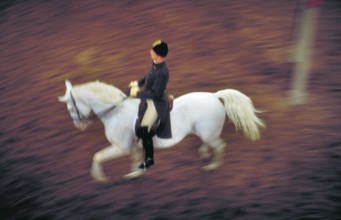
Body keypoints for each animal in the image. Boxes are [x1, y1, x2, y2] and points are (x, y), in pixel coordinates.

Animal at [58, 80, 264, 181]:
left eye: (70, 106)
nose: (78, 125)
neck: (116, 110)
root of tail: (215, 96)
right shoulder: (131, 145)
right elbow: (134, 159)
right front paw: (135, 174)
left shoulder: (120, 147)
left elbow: (97, 156)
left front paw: (99, 178)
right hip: (205, 132)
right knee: (209, 144)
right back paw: (204, 154)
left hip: (210, 132)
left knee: (220, 146)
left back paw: (212, 166)